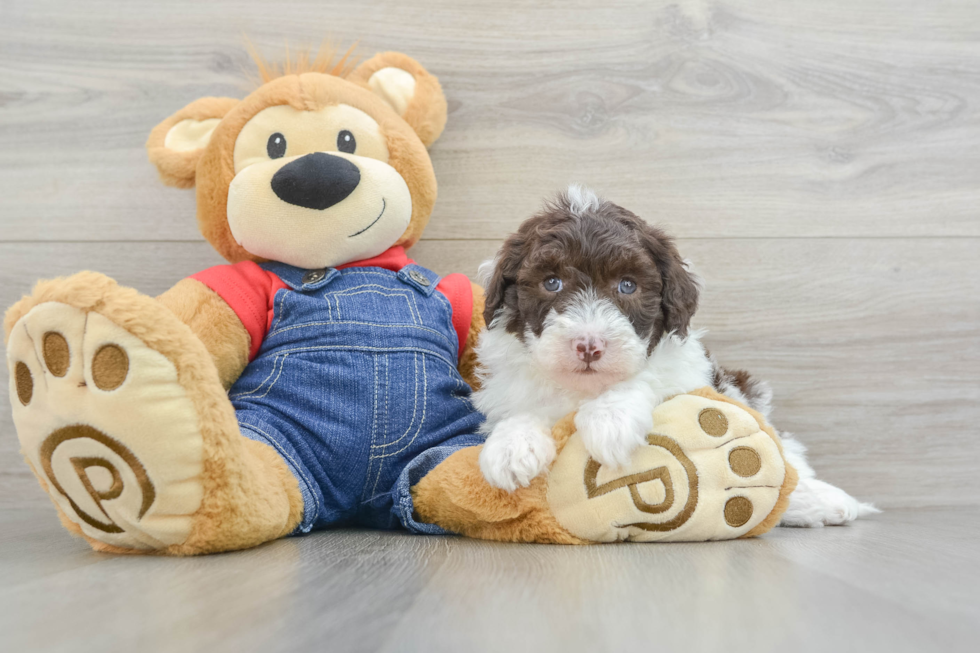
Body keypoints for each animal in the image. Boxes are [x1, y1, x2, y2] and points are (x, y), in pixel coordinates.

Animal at [472, 186, 872, 528]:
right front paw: (511, 447)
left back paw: (825, 501)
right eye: (551, 282)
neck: (585, 389)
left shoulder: (689, 373)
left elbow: (650, 377)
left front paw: (609, 420)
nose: (589, 346)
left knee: (789, 457)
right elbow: (520, 407)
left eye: (628, 285)